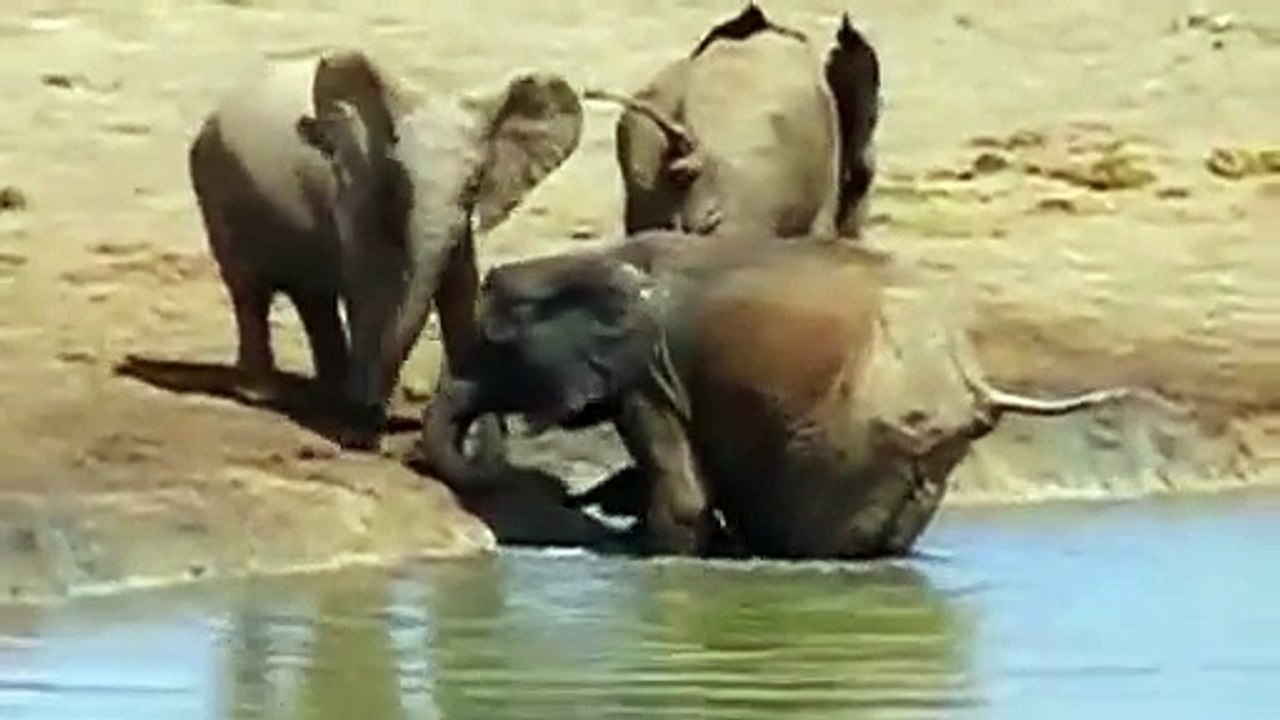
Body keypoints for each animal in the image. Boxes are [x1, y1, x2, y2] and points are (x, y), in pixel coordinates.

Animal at [187, 48, 582, 449]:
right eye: (399, 181)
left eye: (474, 184)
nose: (373, 414)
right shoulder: (356, 192)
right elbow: (373, 294)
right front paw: (359, 432)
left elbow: (460, 294)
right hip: (214, 184)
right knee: (250, 291)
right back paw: (263, 393)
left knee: (313, 298)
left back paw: (329, 394)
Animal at [412, 230, 1141, 560]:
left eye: (495, 340)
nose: (560, 488)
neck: (595, 257)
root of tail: (967, 374)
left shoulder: (646, 373)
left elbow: (681, 493)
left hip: (861, 435)